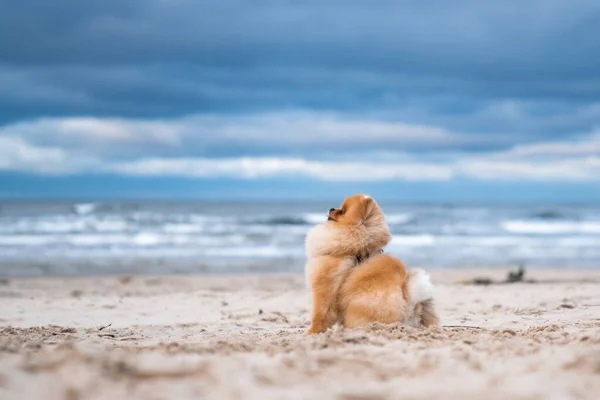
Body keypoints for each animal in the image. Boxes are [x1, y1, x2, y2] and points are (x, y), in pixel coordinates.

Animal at [304, 195, 440, 334]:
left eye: (343, 212)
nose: (331, 208)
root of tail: (410, 311)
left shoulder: (325, 284)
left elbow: (320, 313)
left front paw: (313, 331)